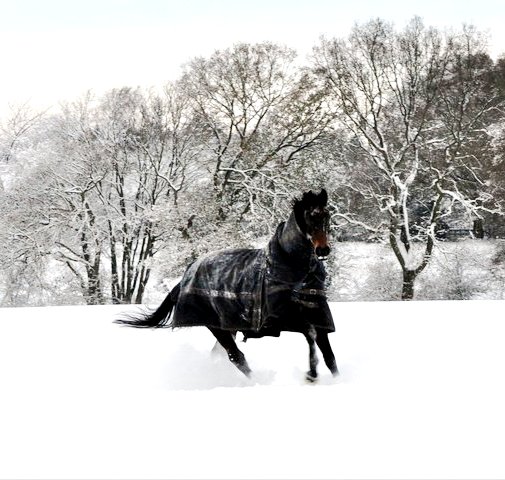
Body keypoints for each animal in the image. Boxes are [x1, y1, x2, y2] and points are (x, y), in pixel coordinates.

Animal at [115, 189, 338, 380]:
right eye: (310, 216)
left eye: (326, 215)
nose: (323, 250)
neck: (294, 271)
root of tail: (185, 277)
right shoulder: (283, 318)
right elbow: (310, 334)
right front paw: (311, 374)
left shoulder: (318, 316)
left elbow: (329, 356)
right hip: (217, 327)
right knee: (235, 356)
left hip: (228, 327)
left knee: (221, 355)